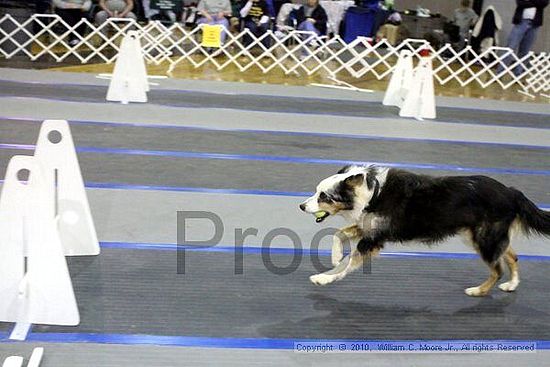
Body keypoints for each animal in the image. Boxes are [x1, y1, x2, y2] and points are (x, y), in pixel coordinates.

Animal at [302, 165, 550, 298]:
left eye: (324, 196)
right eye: (316, 192)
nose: (301, 206)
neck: (373, 193)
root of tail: (511, 192)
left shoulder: (372, 239)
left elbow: (348, 263)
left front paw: (324, 278)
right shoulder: (367, 226)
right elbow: (340, 233)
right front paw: (335, 257)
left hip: (484, 239)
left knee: (497, 269)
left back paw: (478, 291)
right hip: (483, 236)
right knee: (512, 256)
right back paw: (511, 285)